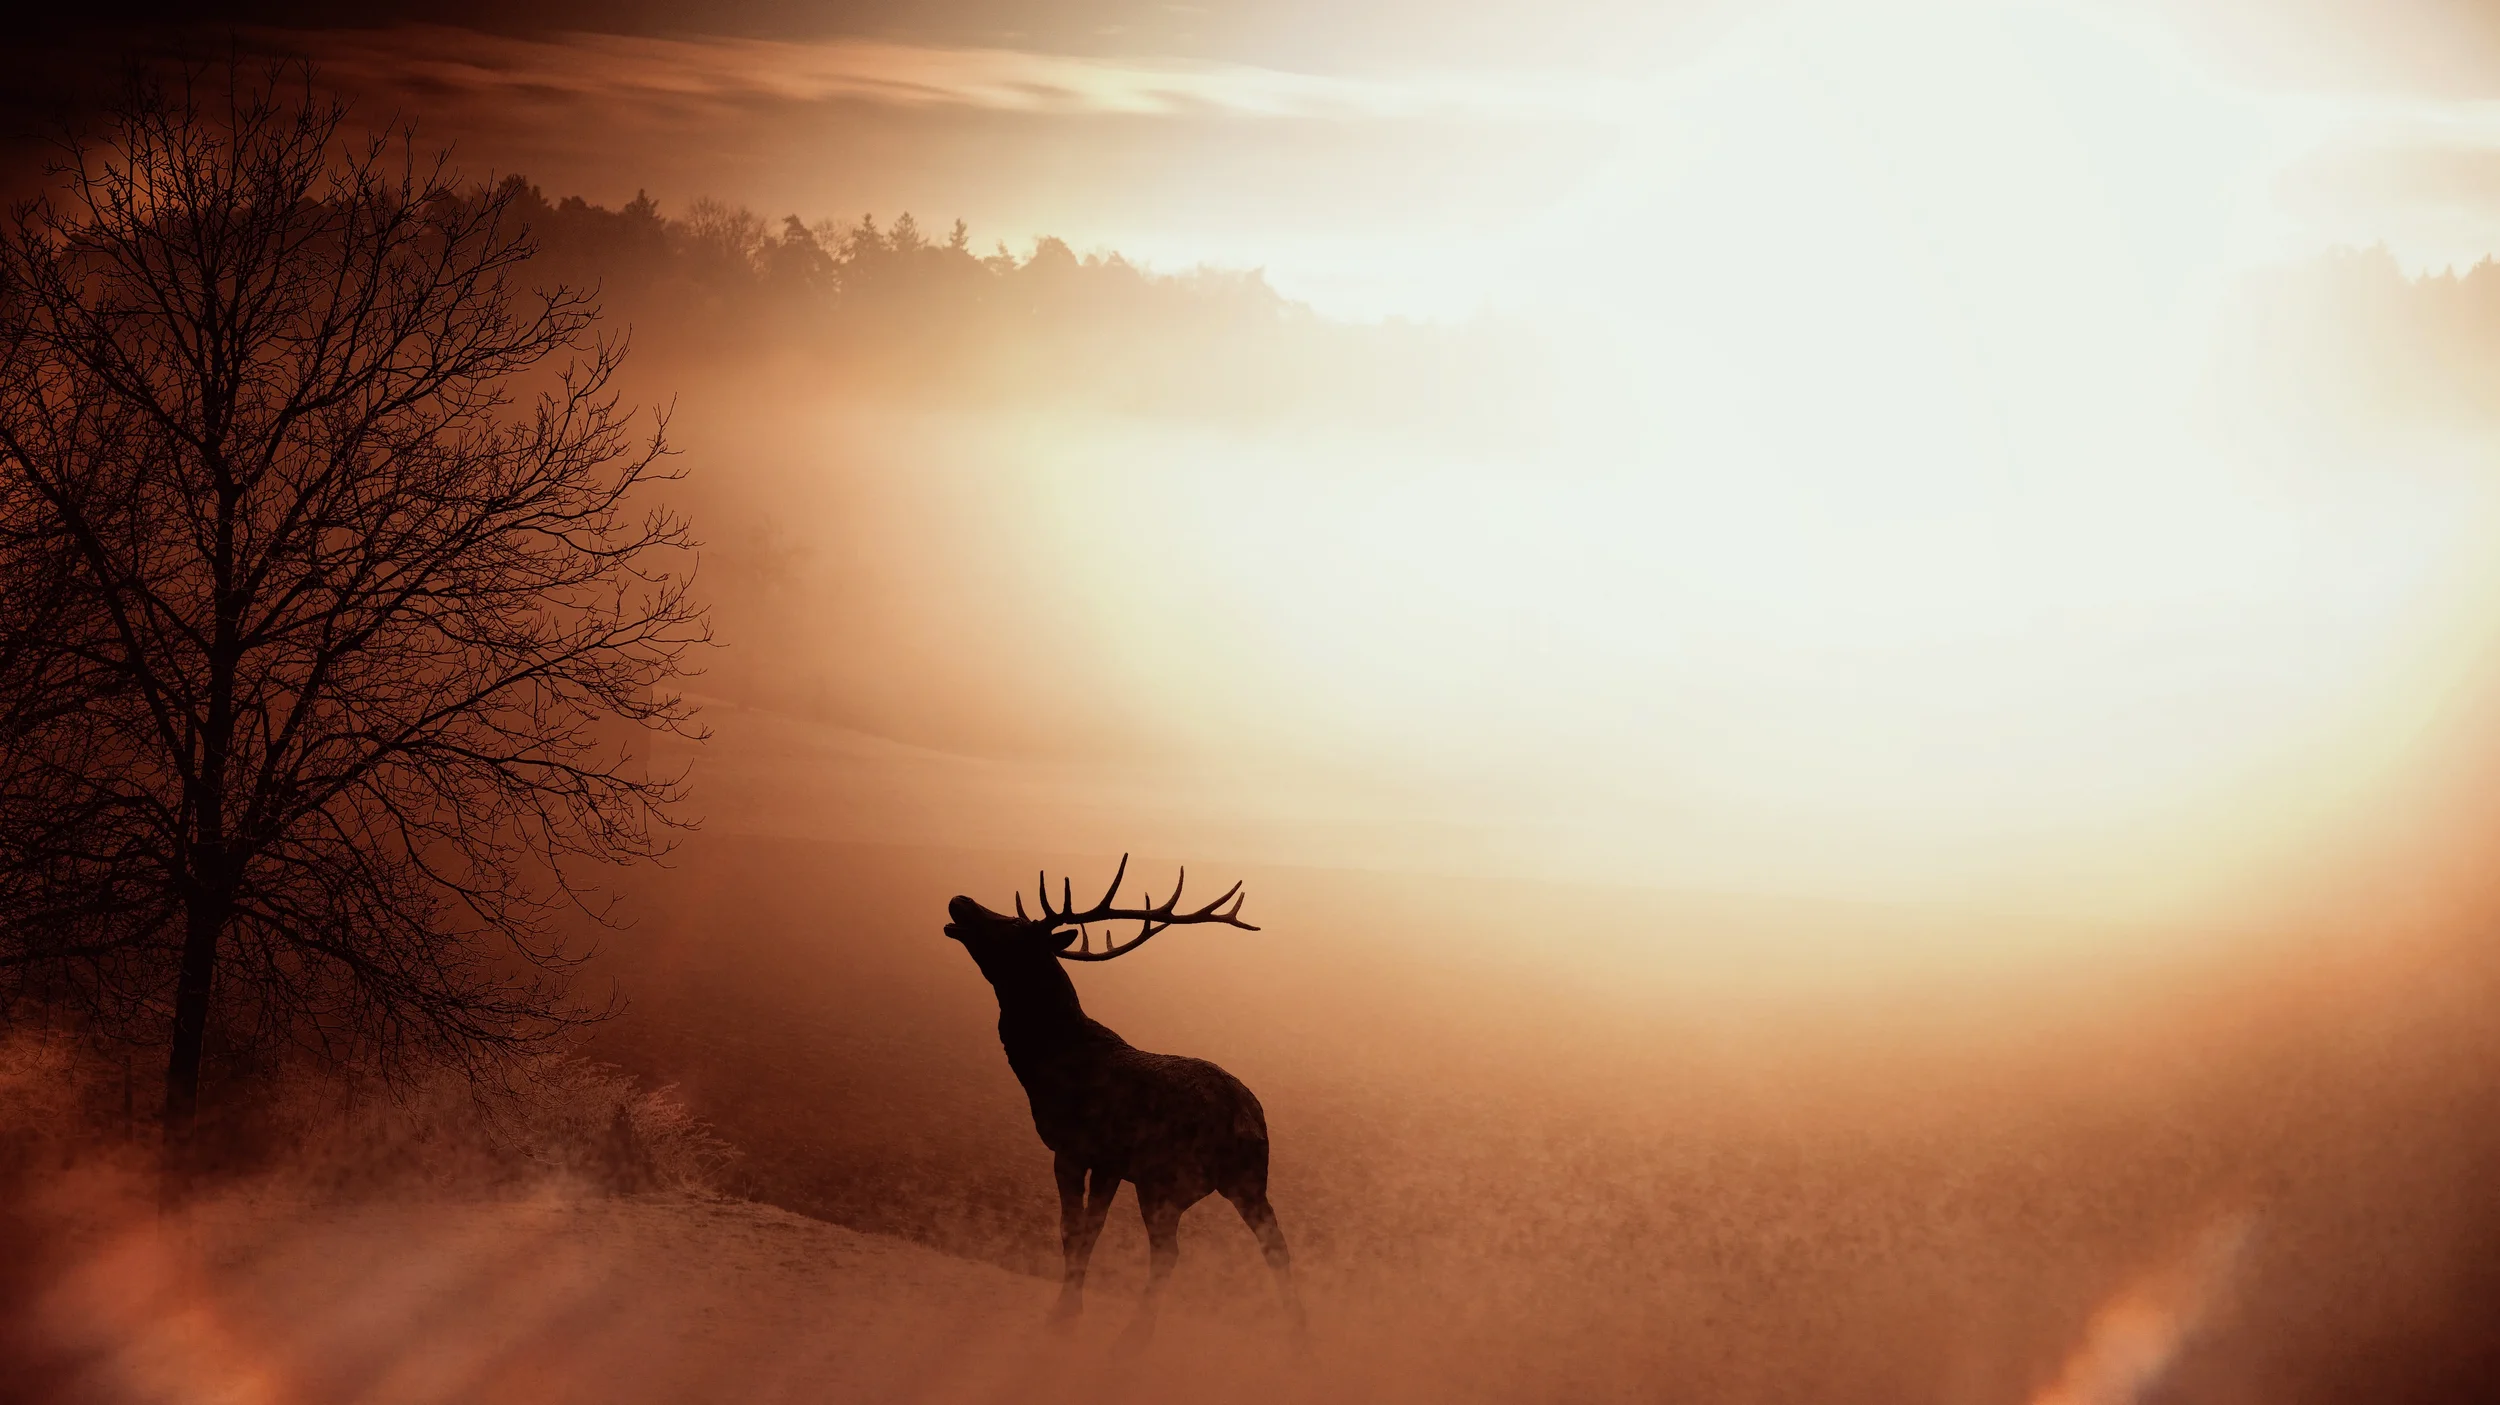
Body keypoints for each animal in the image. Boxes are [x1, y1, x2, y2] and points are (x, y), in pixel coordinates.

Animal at [944, 855, 1306, 1348]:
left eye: (1013, 926)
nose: (960, 900)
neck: (1044, 1063)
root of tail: (1247, 1120)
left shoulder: (1077, 1148)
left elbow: (1073, 1230)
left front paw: (1063, 1313)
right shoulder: (1109, 1163)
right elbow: (1089, 1231)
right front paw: (1070, 1307)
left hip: (1167, 1179)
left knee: (1170, 1251)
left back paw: (1135, 1336)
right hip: (1249, 1180)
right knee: (1276, 1246)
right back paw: (1299, 1339)